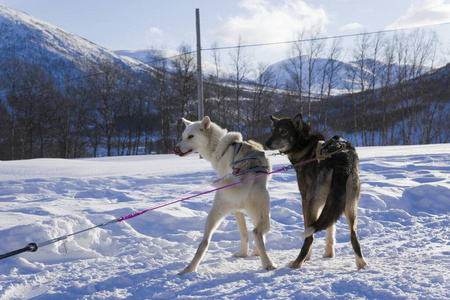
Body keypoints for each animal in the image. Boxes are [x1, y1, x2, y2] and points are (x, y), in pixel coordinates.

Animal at [173, 116, 276, 276]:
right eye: (183, 136)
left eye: (191, 136)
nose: (176, 148)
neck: (219, 145)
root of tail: (246, 177)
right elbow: (247, 234)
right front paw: (251, 253)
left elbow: (245, 233)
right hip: (262, 215)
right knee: (257, 232)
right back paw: (264, 261)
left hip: (217, 212)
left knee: (206, 242)